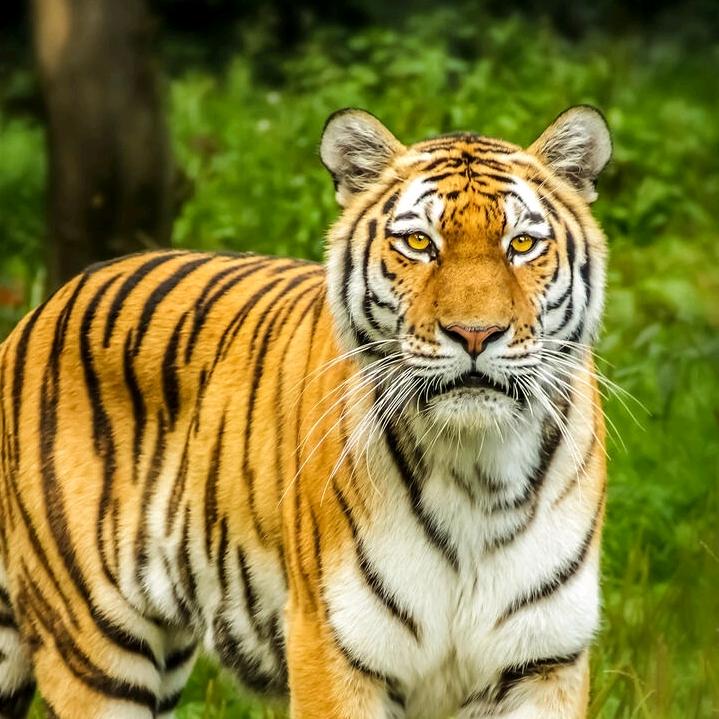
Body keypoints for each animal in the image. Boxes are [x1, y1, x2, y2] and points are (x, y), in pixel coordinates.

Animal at [0, 105, 611, 719]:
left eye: (522, 244)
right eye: (419, 242)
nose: (476, 333)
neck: (479, 474)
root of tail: (38, 312)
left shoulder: (544, 661)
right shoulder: (333, 648)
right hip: (99, 649)